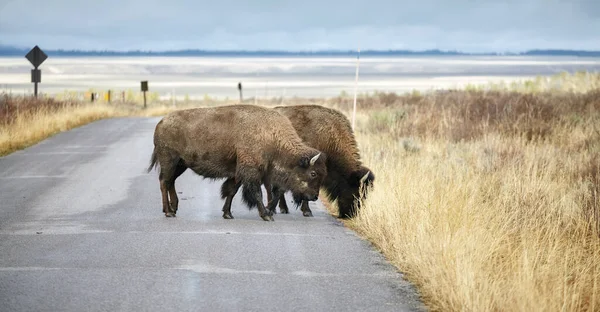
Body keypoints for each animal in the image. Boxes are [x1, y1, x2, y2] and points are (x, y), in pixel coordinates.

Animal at [146, 103, 328, 221]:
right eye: (313, 173)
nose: (314, 196)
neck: (272, 137)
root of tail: (161, 123)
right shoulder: (251, 172)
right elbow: (256, 193)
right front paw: (266, 215)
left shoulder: (238, 173)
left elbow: (231, 191)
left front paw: (227, 214)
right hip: (170, 161)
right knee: (164, 182)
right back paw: (169, 212)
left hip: (181, 165)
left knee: (170, 182)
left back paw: (174, 208)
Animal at [223, 105, 376, 219]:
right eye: (355, 191)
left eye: (365, 195)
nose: (350, 214)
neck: (330, 136)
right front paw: (305, 211)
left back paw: (281, 208)